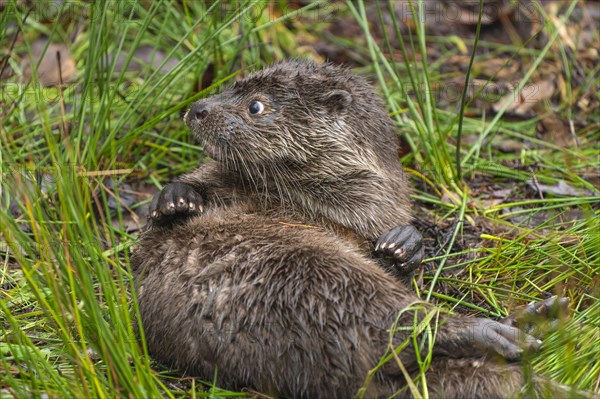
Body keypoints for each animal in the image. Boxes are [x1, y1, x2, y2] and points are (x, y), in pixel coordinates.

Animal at [131, 61, 580, 398]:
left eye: (255, 106)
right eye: (229, 87)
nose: (198, 108)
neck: (311, 204)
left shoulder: (378, 210)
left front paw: (403, 244)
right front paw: (176, 198)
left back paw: (530, 320)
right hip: (321, 275)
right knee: (404, 323)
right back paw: (508, 330)